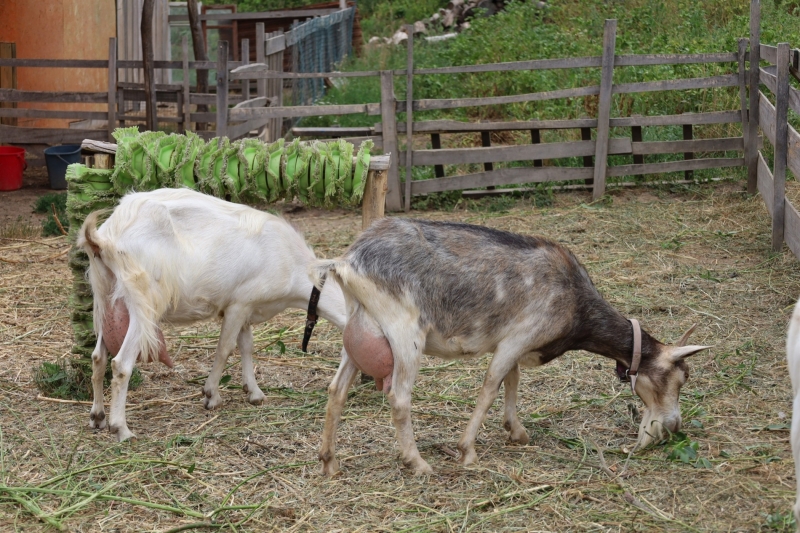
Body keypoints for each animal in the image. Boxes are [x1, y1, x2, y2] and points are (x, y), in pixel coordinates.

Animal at [76, 187, 346, 440]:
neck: (296, 269)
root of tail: (106, 235)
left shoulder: (243, 305)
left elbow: (246, 345)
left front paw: (254, 392)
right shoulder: (239, 305)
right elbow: (225, 348)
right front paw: (211, 395)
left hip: (106, 294)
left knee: (98, 357)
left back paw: (98, 416)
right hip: (143, 300)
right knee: (121, 363)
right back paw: (121, 428)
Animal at [310, 216, 708, 474]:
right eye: (679, 378)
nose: (674, 426)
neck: (576, 302)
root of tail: (346, 260)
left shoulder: (513, 341)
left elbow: (511, 382)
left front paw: (516, 432)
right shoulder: (520, 336)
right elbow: (490, 386)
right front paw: (467, 452)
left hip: (360, 329)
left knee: (336, 390)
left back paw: (329, 461)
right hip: (404, 332)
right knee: (399, 397)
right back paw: (418, 463)